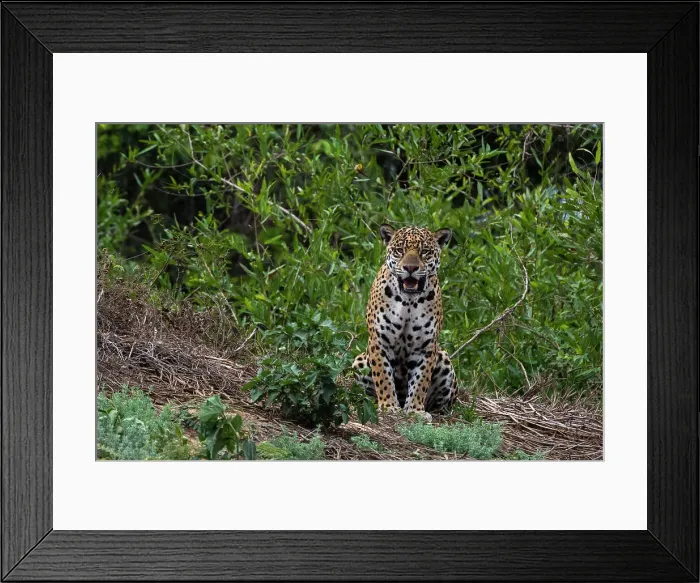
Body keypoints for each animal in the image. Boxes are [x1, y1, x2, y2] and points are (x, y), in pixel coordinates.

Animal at [352, 224, 457, 421]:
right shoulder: (379, 341)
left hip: (444, 359)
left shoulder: (426, 347)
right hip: (359, 361)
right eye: (399, 250)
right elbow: (383, 377)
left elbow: (420, 381)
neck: (409, 301)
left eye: (424, 252)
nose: (410, 267)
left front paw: (415, 410)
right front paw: (388, 406)